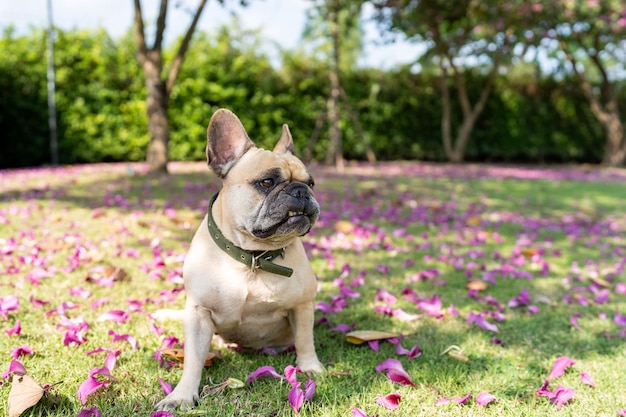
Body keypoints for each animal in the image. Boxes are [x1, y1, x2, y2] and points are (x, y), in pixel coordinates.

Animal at [155, 109, 322, 408]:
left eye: (311, 183)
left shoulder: (302, 306)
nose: (301, 191)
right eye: (267, 182)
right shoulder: (198, 314)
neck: (252, 256)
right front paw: (181, 395)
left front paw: (310, 367)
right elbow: (193, 360)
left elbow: (305, 339)